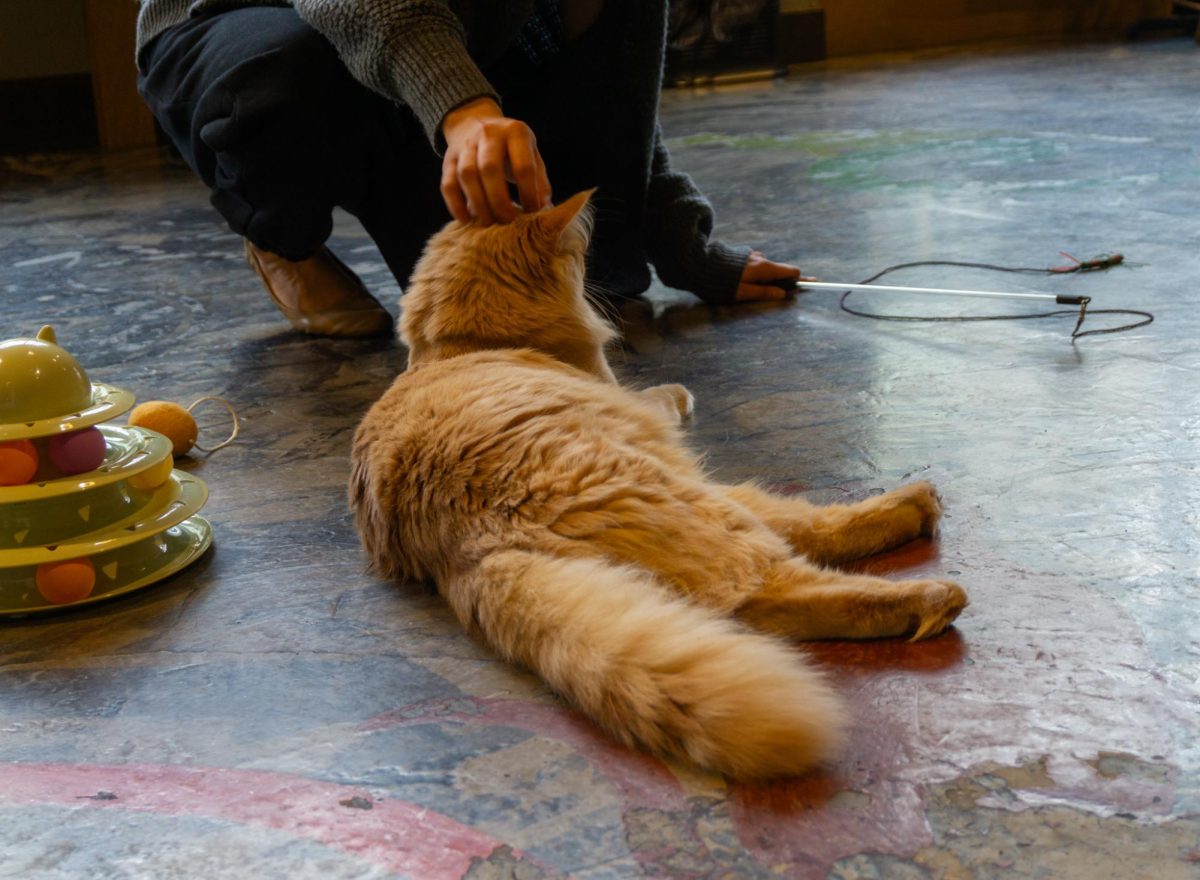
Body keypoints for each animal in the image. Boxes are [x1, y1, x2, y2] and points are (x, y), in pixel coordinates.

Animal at [350, 192, 964, 777]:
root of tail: (467, 546)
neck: (461, 345)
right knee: (789, 565)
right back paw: (927, 565)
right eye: (580, 257)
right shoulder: (624, 396)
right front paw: (680, 392)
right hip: (692, 492)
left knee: (759, 598)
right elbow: (660, 394)